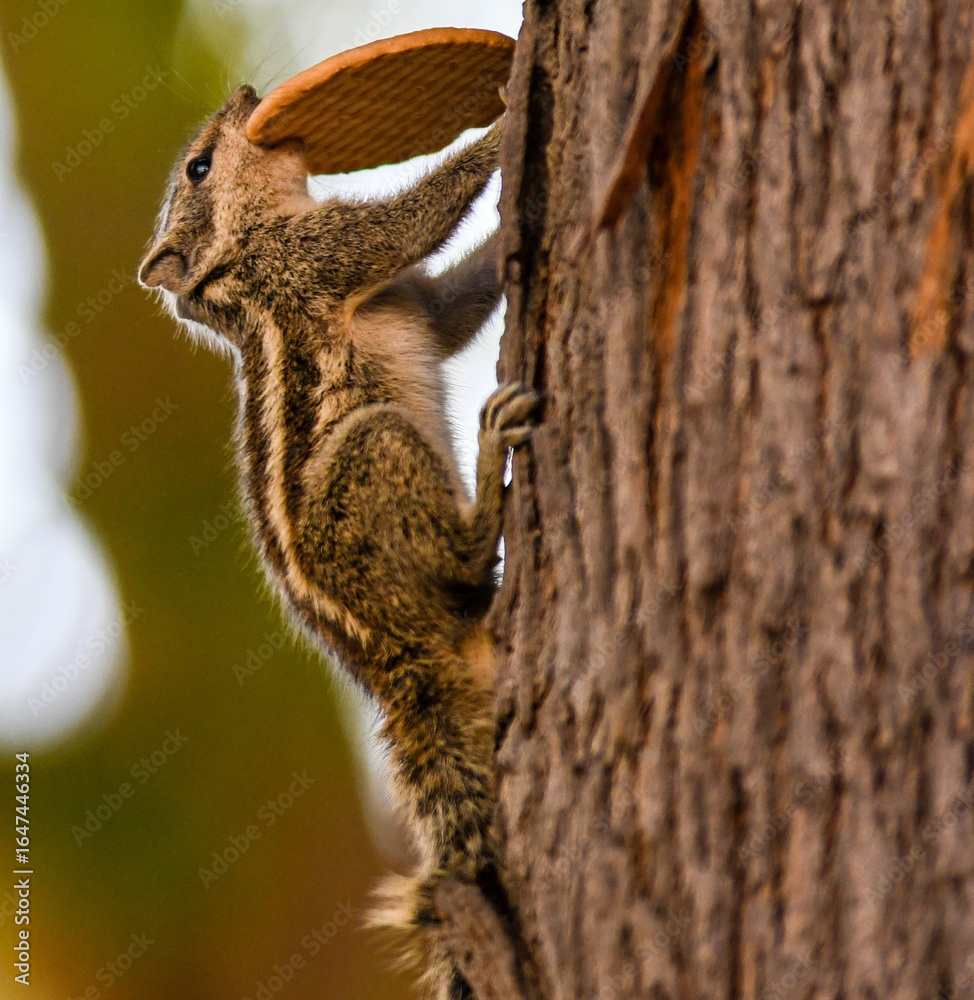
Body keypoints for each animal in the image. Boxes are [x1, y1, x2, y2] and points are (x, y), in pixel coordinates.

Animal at [138, 84, 539, 1000]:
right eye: (200, 166)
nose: (246, 94)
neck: (239, 265)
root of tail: (390, 659)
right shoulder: (314, 255)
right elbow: (407, 221)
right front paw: (502, 124)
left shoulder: (404, 296)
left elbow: (451, 303)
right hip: (372, 454)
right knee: (463, 559)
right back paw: (488, 467)